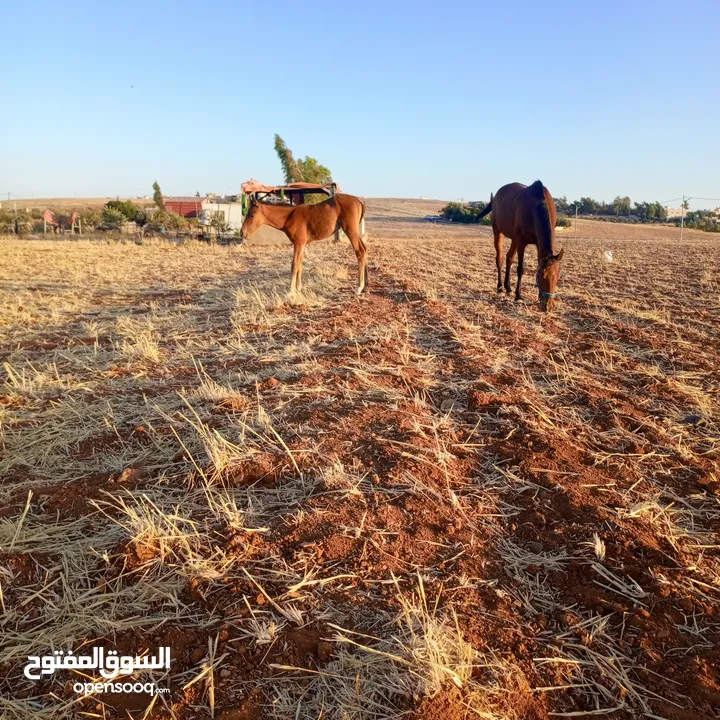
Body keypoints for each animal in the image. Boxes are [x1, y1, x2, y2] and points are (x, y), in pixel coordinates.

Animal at [240, 194, 368, 296]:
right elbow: (300, 263)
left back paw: (359, 287)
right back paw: (366, 285)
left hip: (351, 231)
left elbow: (294, 264)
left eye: (251, 215)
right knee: (365, 249)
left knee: (360, 251)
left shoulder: (298, 243)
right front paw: (298, 288)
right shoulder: (301, 244)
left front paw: (291, 291)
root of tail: (358, 200)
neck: (289, 217)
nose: (242, 233)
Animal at [478, 180, 564, 310]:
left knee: (509, 258)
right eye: (542, 275)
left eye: (558, 276)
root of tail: (496, 196)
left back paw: (508, 288)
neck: (535, 205)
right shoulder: (522, 242)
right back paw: (500, 288)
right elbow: (520, 269)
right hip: (498, 232)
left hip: (514, 239)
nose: (548, 306)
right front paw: (518, 297)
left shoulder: (537, 244)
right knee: (499, 259)